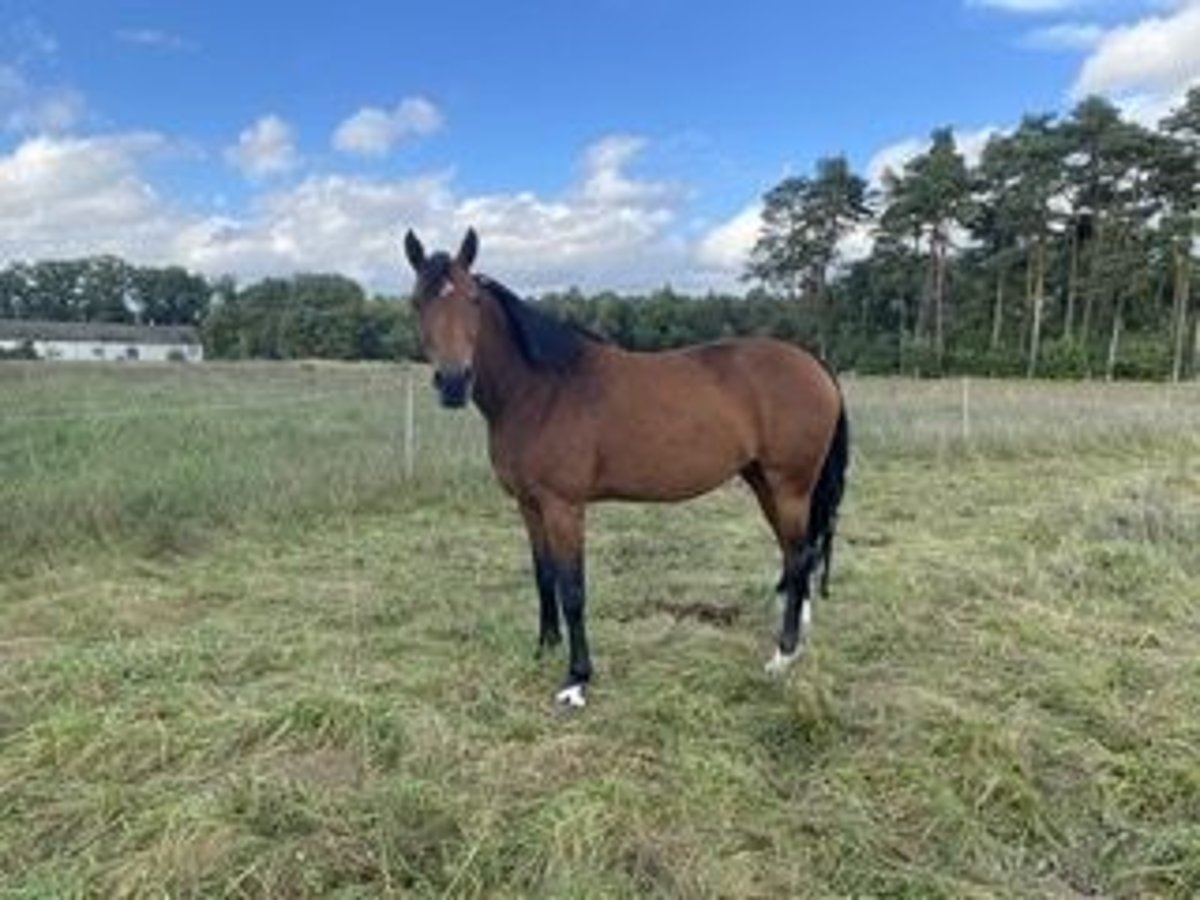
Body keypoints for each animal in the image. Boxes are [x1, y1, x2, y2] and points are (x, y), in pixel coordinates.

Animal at [408, 229, 849, 710]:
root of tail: (812, 362)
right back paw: (797, 639)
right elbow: (544, 576)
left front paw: (576, 680)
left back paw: (782, 656)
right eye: (417, 301)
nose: (453, 383)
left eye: (472, 299)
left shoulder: (564, 507)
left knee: (800, 556)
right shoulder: (529, 505)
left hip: (790, 486)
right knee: (796, 556)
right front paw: (544, 649)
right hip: (764, 483)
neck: (542, 389)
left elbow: (572, 589)